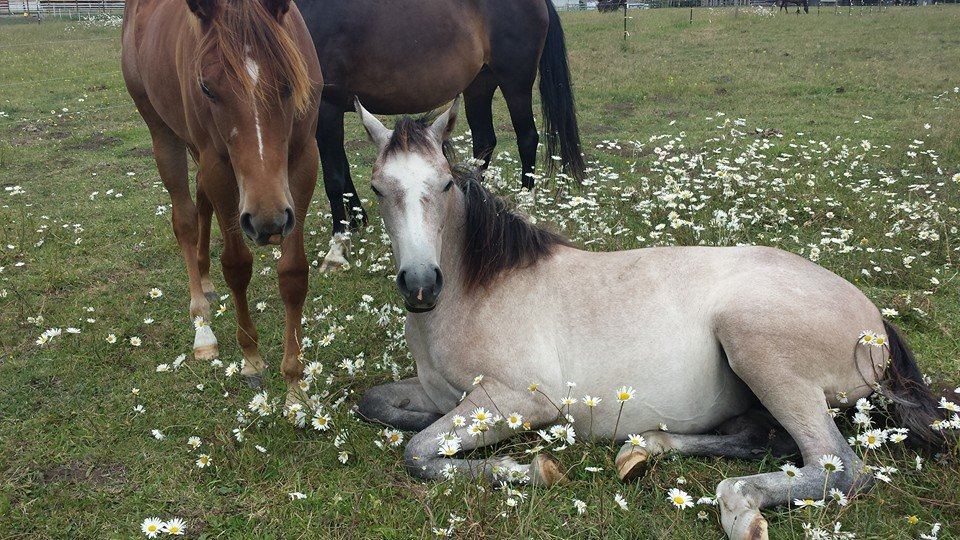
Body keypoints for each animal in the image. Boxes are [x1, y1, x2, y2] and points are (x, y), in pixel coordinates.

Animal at [121, 0, 322, 402]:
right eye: (207, 88)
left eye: (288, 82)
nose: (268, 222)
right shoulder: (217, 164)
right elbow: (237, 266)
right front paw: (251, 359)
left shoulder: (305, 158)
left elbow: (293, 273)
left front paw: (295, 383)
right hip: (164, 133)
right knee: (184, 219)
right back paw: (202, 322)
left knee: (201, 201)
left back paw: (205, 275)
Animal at [295, 0, 585, 270]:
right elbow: (342, 172)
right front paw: (356, 221)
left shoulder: (326, 106)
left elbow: (333, 179)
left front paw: (337, 250)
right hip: (480, 83)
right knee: (484, 141)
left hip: (515, 82)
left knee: (527, 138)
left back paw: (524, 205)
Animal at [353, 100, 948, 540]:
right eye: (378, 188)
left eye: (445, 184)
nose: (421, 285)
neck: (478, 291)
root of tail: (876, 323)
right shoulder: (441, 395)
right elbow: (378, 406)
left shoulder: (518, 400)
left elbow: (418, 452)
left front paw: (528, 469)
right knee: (760, 438)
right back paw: (643, 450)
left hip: (759, 351)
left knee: (837, 465)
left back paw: (741, 506)